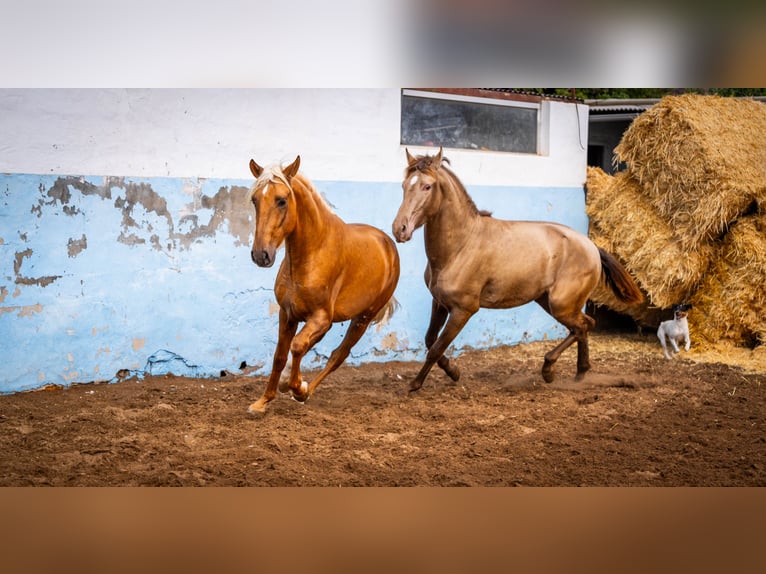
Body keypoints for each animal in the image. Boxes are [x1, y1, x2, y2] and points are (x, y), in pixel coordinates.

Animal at [248, 155, 404, 412]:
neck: (311, 254)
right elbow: (280, 355)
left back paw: (305, 391)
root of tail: (388, 244)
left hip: (363, 318)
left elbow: (297, 346)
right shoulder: (287, 313)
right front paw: (263, 401)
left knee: (338, 355)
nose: (261, 255)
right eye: (254, 200)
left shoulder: (320, 317)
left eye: (282, 200)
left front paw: (296, 387)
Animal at [392, 148, 644, 392]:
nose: (399, 229)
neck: (460, 246)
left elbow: (436, 347)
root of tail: (592, 247)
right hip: (550, 302)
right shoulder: (440, 303)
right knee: (585, 325)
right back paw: (580, 373)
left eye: (427, 186)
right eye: (404, 186)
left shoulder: (463, 309)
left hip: (561, 305)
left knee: (581, 327)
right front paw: (454, 372)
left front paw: (415, 385)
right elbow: (430, 340)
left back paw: (549, 370)